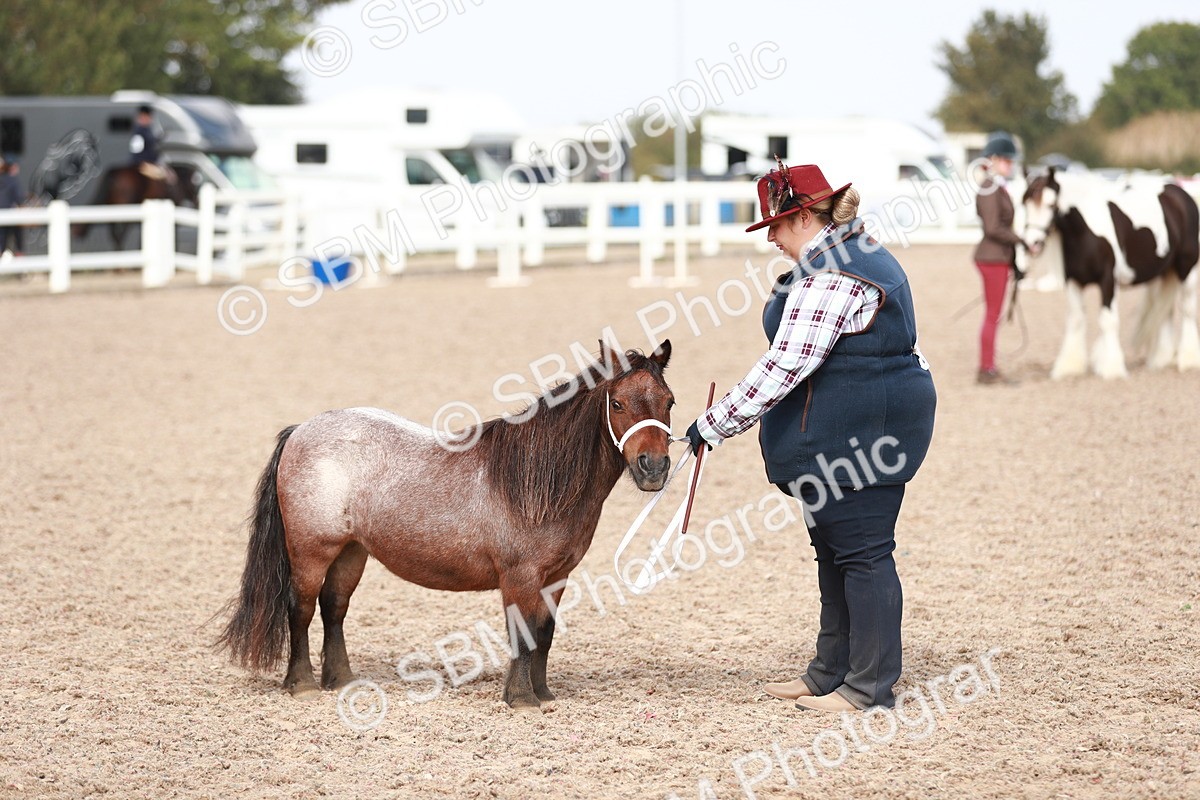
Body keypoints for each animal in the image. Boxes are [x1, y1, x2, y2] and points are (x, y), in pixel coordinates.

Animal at [218, 342, 676, 712]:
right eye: (617, 404)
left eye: (668, 401)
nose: (653, 467)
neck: (538, 481)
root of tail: (301, 430)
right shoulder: (520, 577)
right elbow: (522, 635)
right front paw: (521, 699)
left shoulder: (556, 578)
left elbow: (542, 634)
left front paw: (543, 694)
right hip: (312, 550)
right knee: (301, 608)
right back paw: (303, 685)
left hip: (351, 551)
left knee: (334, 608)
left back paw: (343, 680)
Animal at [1022, 167, 1200, 379]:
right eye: (1025, 203)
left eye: (1050, 204)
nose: (1032, 243)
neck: (1086, 230)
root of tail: (1181, 195)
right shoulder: (1073, 281)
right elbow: (1076, 320)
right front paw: (1070, 367)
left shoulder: (1107, 281)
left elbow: (1108, 321)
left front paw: (1112, 368)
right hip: (1165, 273)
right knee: (1165, 311)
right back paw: (1161, 360)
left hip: (1187, 268)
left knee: (1187, 309)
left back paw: (1188, 360)